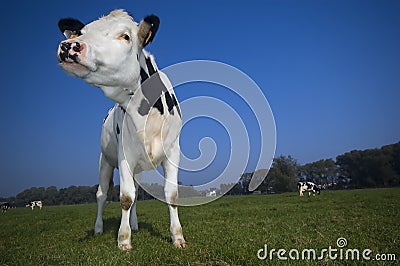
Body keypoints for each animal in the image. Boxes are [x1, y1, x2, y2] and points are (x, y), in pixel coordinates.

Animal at [56, 9, 186, 250]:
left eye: (125, 36)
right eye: (82, 32)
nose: (68, 46)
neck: (146, 114)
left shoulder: (173, 152)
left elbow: (171, 195)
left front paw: (178, 237)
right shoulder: (124, 154)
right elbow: (125, 197)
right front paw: (124, 240)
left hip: (136, 169)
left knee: (134, 192)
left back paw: (134, 224)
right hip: (104, 161)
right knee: (101, 195)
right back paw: (99, 228)